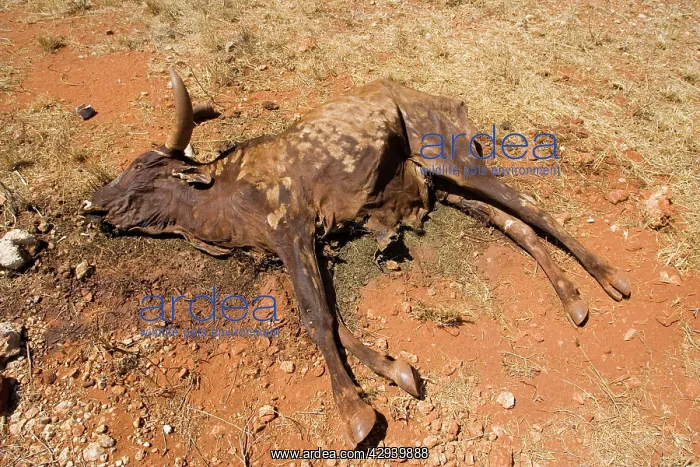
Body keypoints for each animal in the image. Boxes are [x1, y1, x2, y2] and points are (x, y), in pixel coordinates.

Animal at [82, 68, 631, 446]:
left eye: (140, 168)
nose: (94, 204)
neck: (224, 196)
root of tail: (442, 100)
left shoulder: (293, 229)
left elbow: (316, 317)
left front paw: (356, 411)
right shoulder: (295, 250)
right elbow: (332, 317)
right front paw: (396, 370)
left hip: (454, 159)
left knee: (531, 206)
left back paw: (609, 277)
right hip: (445, 187)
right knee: (514, 223)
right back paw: (572, 297)